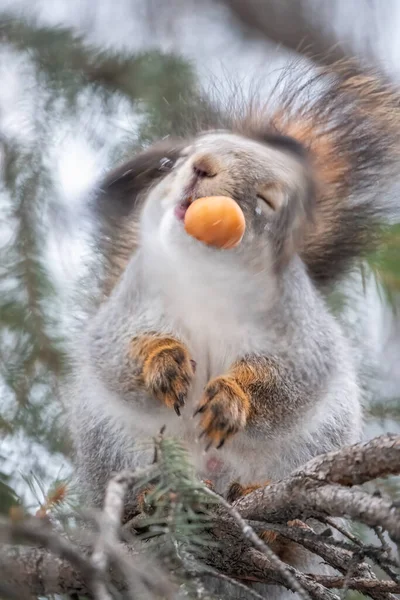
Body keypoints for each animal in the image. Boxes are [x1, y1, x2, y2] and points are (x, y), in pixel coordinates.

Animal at [65, 62, 400, 600]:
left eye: (267, 199)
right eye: (179, 159)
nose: (200, 166)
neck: (207, 272)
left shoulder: (296, 331)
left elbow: (289, 376)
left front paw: (231, 399)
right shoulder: (131, 306)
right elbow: (118, 350)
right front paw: (163, 362)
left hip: (311, 448)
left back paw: (271, 523)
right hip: (114, 443)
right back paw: (147, 502)